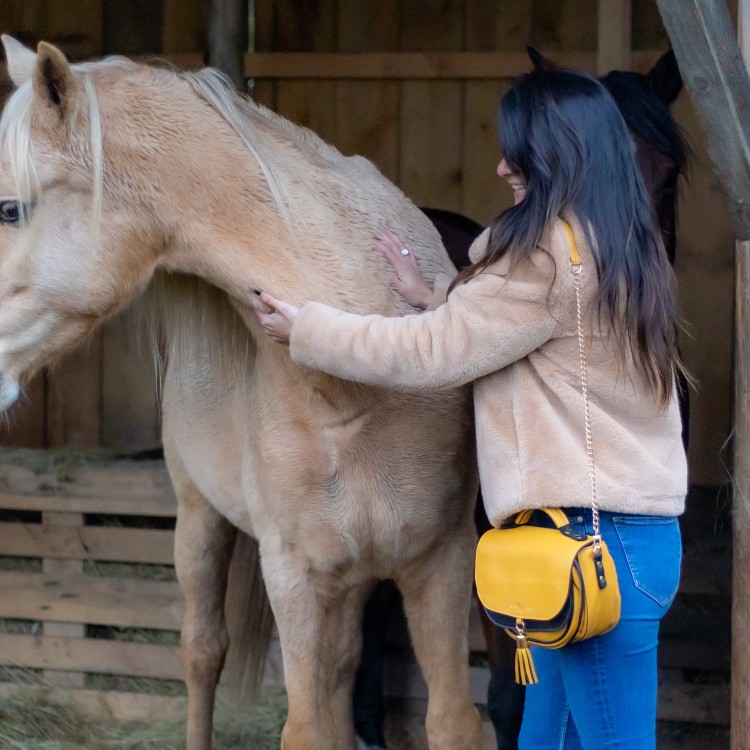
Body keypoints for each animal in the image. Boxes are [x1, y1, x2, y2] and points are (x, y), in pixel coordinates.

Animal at [0, 36, 482, 750]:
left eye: (10, 208)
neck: (365, 385)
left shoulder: (441, 563)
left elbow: (452, 722)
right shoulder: (295, 578)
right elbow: (306, 729)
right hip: (199, 519)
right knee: (202, 653)